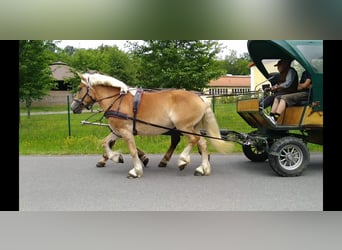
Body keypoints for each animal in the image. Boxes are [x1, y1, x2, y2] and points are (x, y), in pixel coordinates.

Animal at [71, 72, 234, 178]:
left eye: (79, 89)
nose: (73, 107)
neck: (117, 100)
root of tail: (200, 97)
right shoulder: (117, 131)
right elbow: (105, 143)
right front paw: (116, 157)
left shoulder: (125, 131)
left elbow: (132, 151)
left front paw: (136, 170)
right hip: (193, 128)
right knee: (202, 144)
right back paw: (202, 168)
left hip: (184, 127)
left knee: (194, 141)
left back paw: (183, 160)